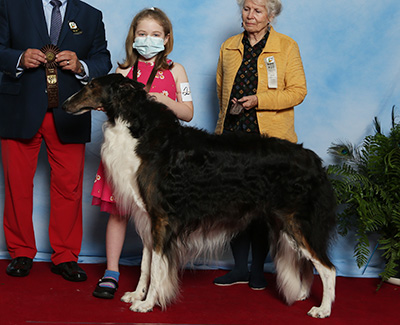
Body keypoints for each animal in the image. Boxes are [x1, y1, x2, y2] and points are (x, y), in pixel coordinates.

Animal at [62, 73, 338, 316]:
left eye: (92, 85)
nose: (64, 104)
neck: (142, 133)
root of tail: (315, 160)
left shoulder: (162, 219)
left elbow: (158, 268)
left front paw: (148, 303)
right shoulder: (149, 218)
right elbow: (145, 265)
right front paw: (136, 295)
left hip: (299, 224)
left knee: (328, 268)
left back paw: (322, 309)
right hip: (286, 225)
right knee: (307, 264)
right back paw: (302, 294)